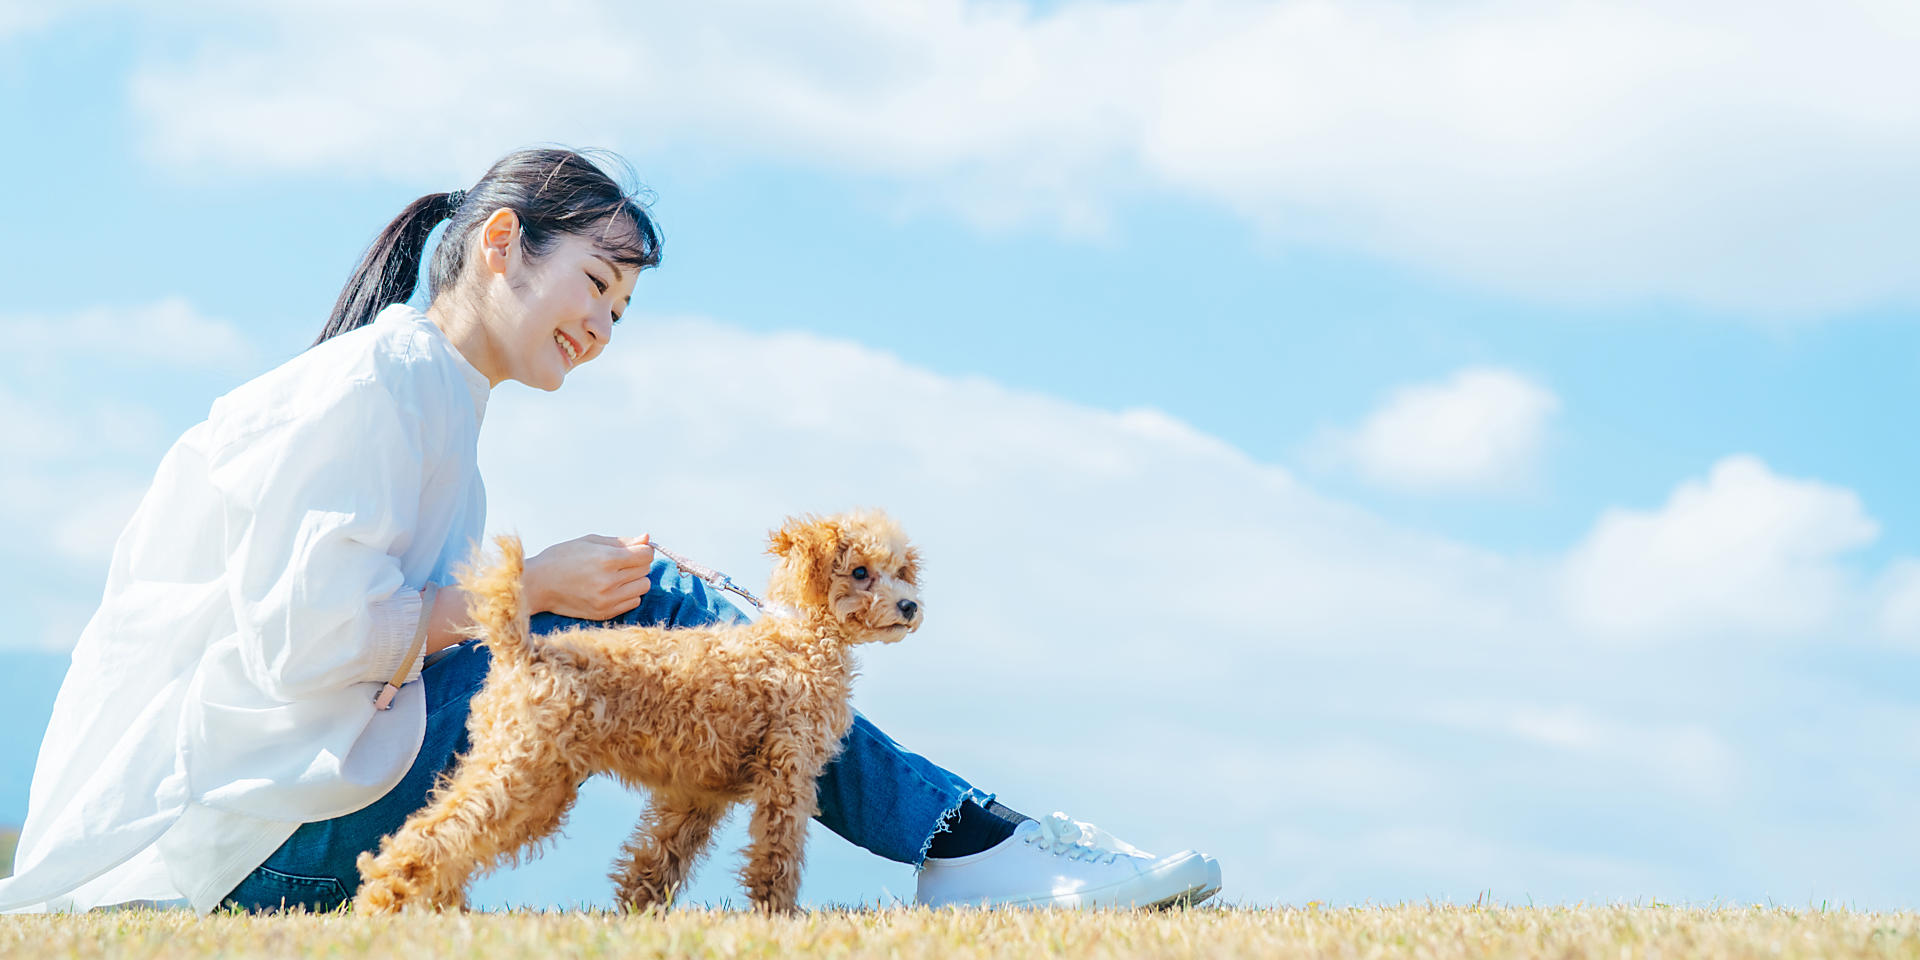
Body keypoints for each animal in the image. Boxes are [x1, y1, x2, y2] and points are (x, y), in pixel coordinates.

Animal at [360, 510, 929, 913]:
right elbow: (777, 855)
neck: (800, 640)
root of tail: (524, 650)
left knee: (461, 837)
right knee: (432, 834)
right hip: (522, 770)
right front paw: (779, 918)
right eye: (860, 572)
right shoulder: (787, 772)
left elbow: (660, 856)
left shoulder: (698, 791)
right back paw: (385, 899)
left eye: (902, 572)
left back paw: (442, 911)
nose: (910, 606)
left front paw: (636, 914)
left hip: (536, 784)